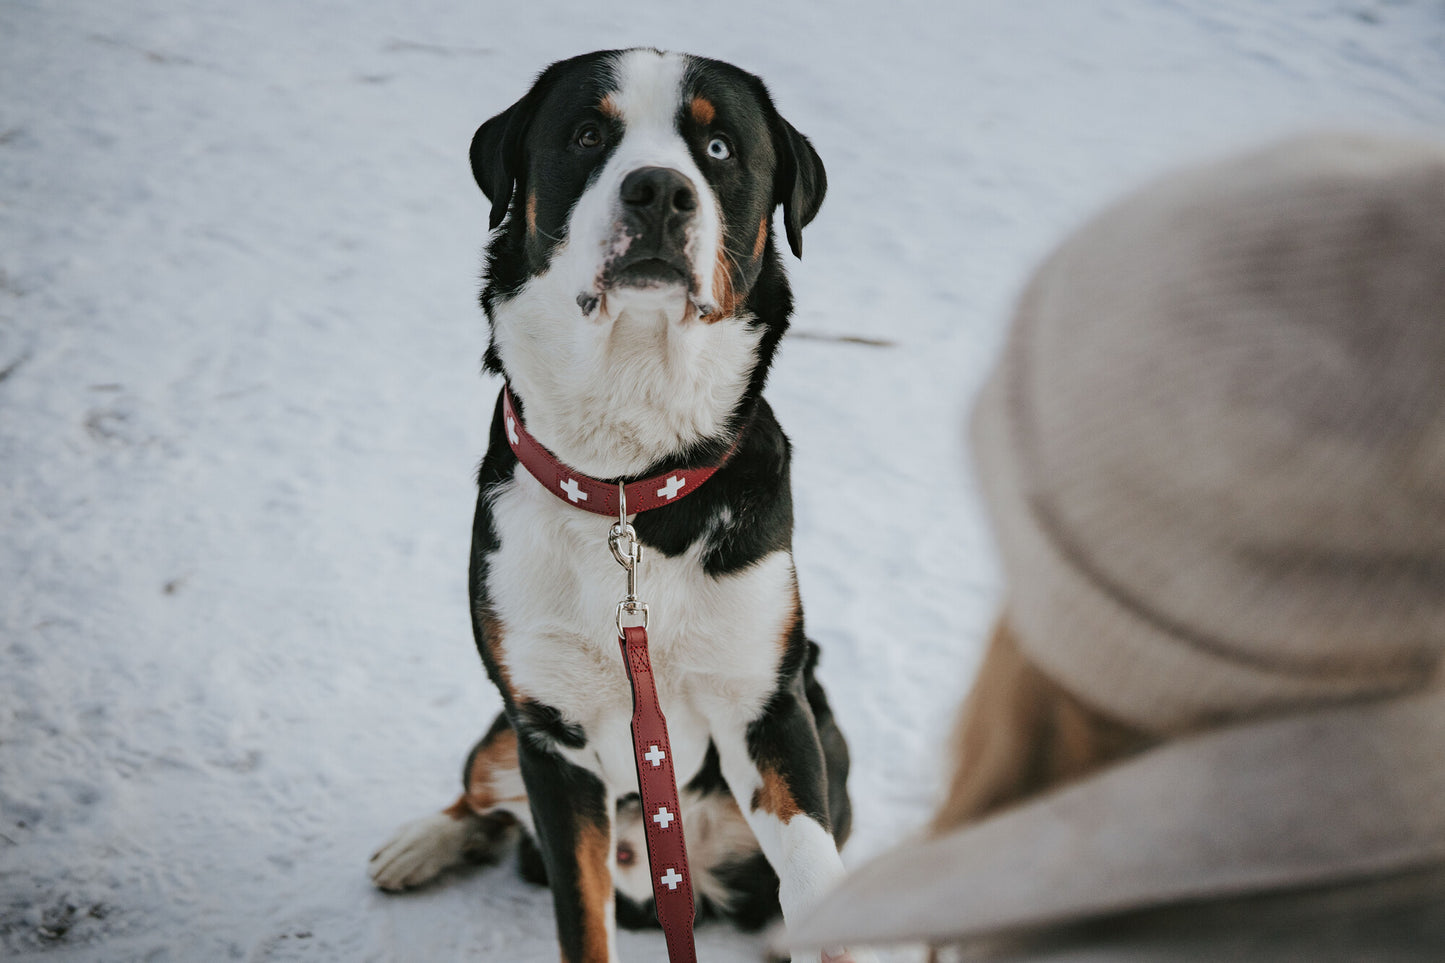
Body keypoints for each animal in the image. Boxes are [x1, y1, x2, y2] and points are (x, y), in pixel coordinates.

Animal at [372, 52, 867, 960]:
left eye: (717, 145)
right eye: (586, 135)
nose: (658, 191)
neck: (631, 484)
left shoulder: (768, 708)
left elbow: (819, 885)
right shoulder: (550, 733)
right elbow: (581, 913)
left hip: (825, 734)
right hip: (504, 731)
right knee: (482, 794)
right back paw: (421, 842)